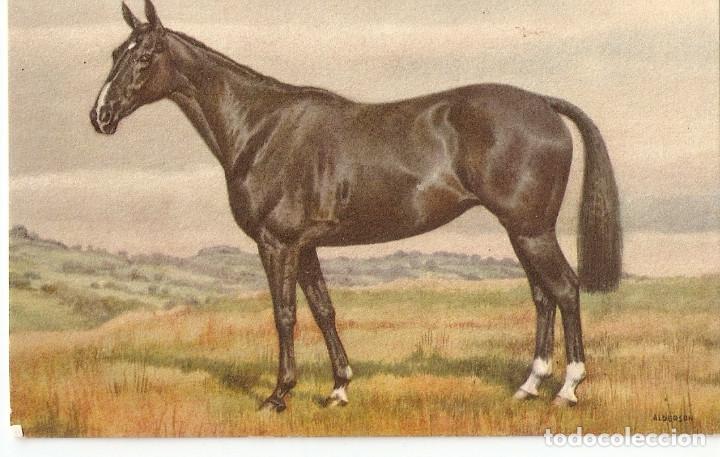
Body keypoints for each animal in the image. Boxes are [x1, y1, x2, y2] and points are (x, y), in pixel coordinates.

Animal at [90, 0, 622, 412]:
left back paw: (568, 388)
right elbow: (324, 309)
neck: (262, 129)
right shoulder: (305, 246)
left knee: (565, 289)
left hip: (531, 230)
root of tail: (542, 104)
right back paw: (528, 386)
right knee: (542, 296)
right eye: (117, 53)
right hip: (521, 231)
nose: (100, 115)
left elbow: (285, 314)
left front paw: (279, 395)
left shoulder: (277, 244)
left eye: (145, 56)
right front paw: (339, 388)